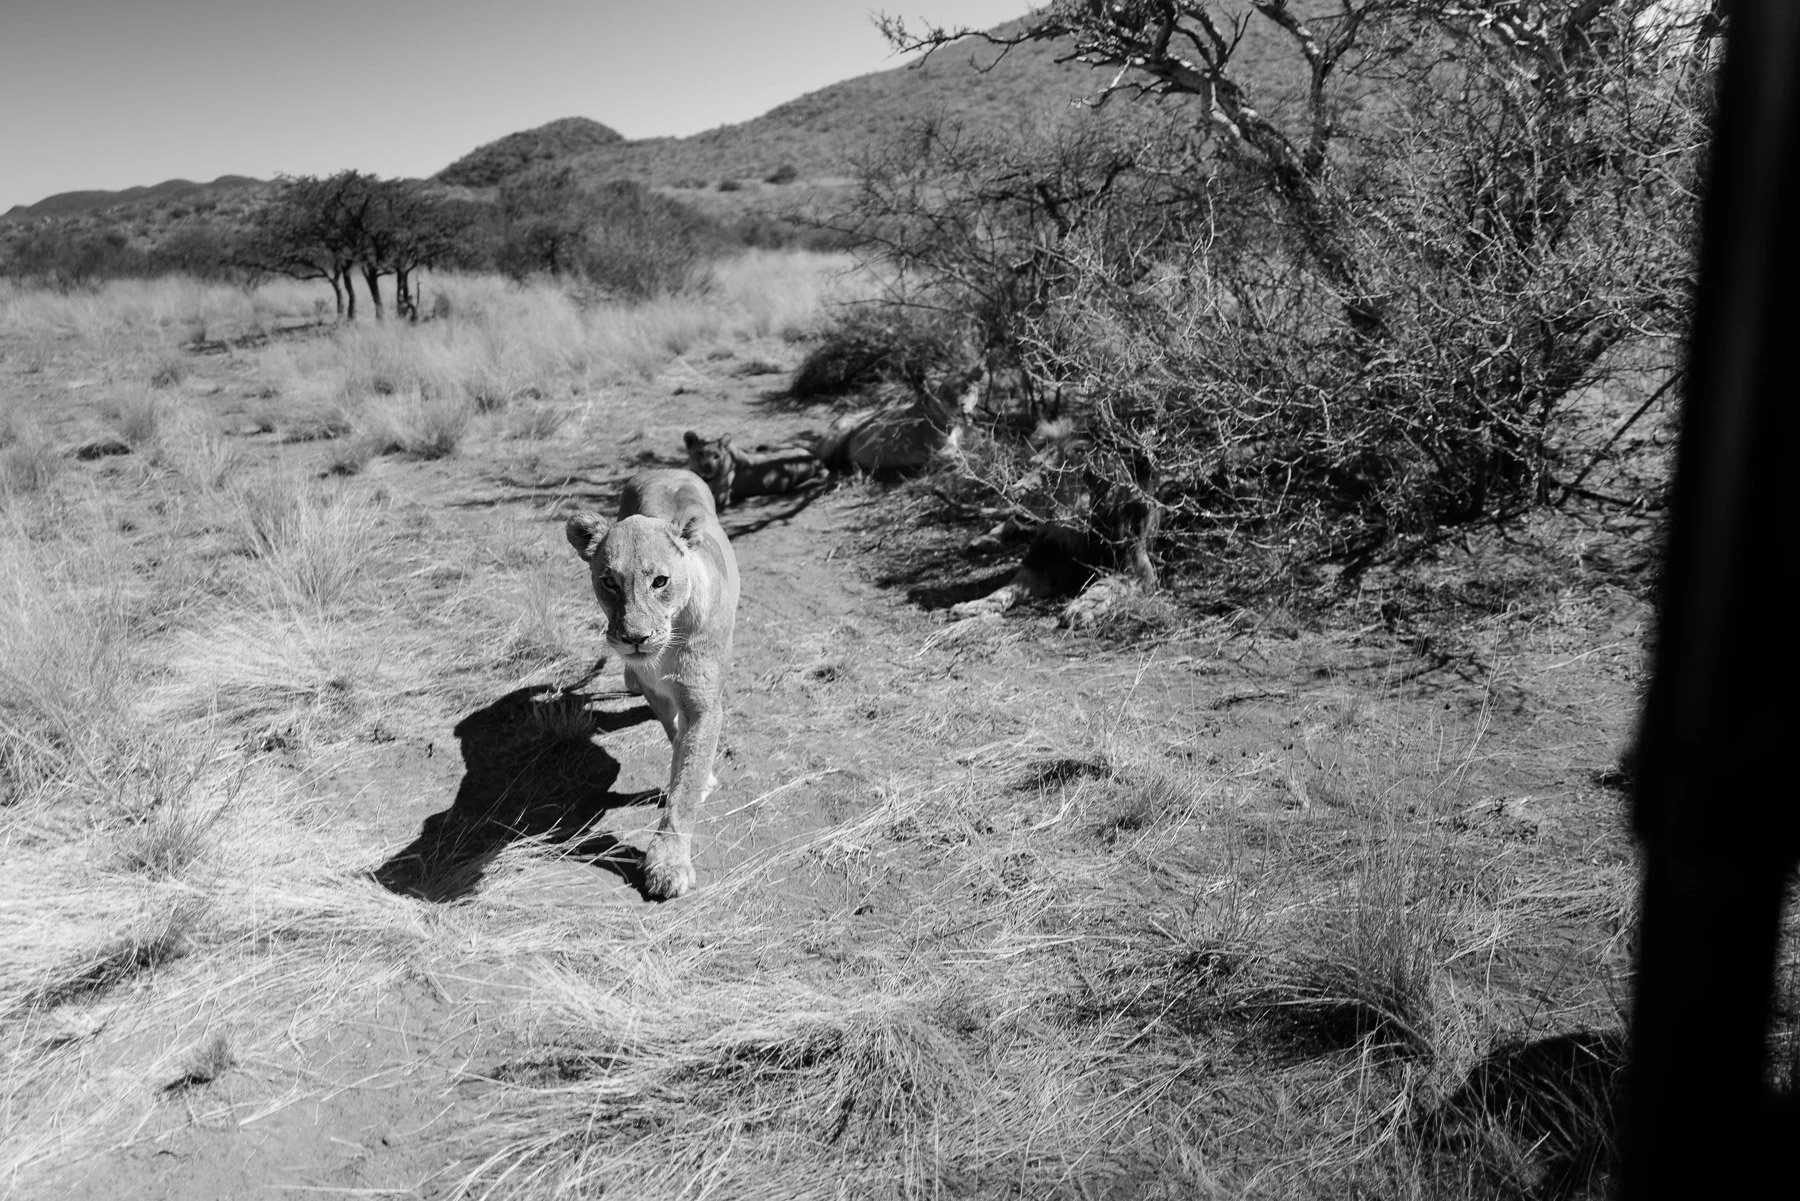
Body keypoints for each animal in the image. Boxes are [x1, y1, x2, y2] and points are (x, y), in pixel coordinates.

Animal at [565, 468, 741, 899]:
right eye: (609, 582)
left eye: (660, 581)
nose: (634, 638)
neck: (668, 646)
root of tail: (666, 469)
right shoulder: (656, 690)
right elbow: (675, 736)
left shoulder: (704, 705)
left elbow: (686, 781)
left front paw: (668, 862)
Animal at [682, 430, 827, 510]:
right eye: (700, 454)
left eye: (716, 456)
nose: (706, 468)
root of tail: (815, 457)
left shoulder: (721, 497)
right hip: (781, 445)